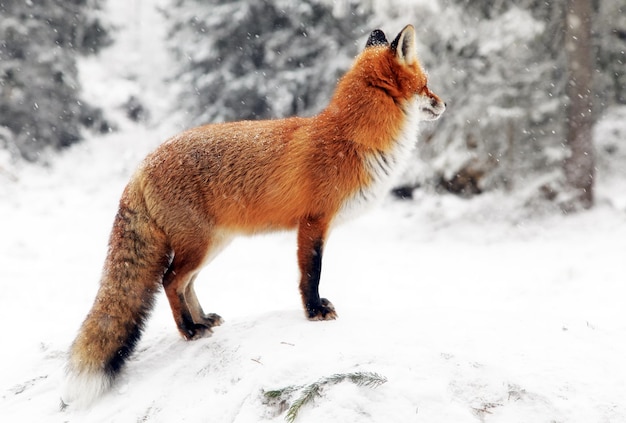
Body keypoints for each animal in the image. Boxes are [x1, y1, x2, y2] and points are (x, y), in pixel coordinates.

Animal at [61, 24, 444, 410]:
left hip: (211, 245)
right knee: (169, 280)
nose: (444, 103)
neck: (351, 140)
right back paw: (189, 330)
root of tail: (142, 165)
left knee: (186, 284)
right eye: (426, 84)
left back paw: (203, 319)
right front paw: (314, 312)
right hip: (198, 246)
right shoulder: (313, 221)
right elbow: (311, 273)